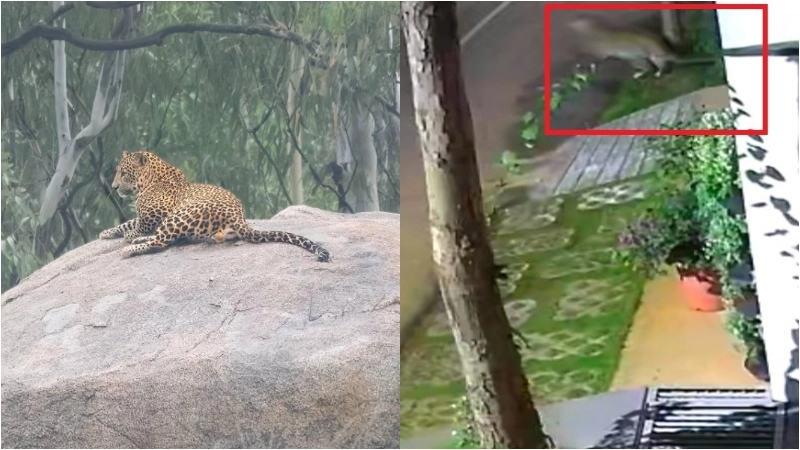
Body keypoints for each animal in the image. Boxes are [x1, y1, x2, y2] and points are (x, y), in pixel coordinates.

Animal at [99, 150, 331, 262]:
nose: (114, 187)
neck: (150, 180)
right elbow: (128, 222)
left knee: (161, 241)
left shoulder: (158, 213)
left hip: (180, 215)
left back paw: (130, 248)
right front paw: (107, 232)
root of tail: (238, 217)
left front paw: (128, 235)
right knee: (171, 238)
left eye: (123, 173)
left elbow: (138, 224)